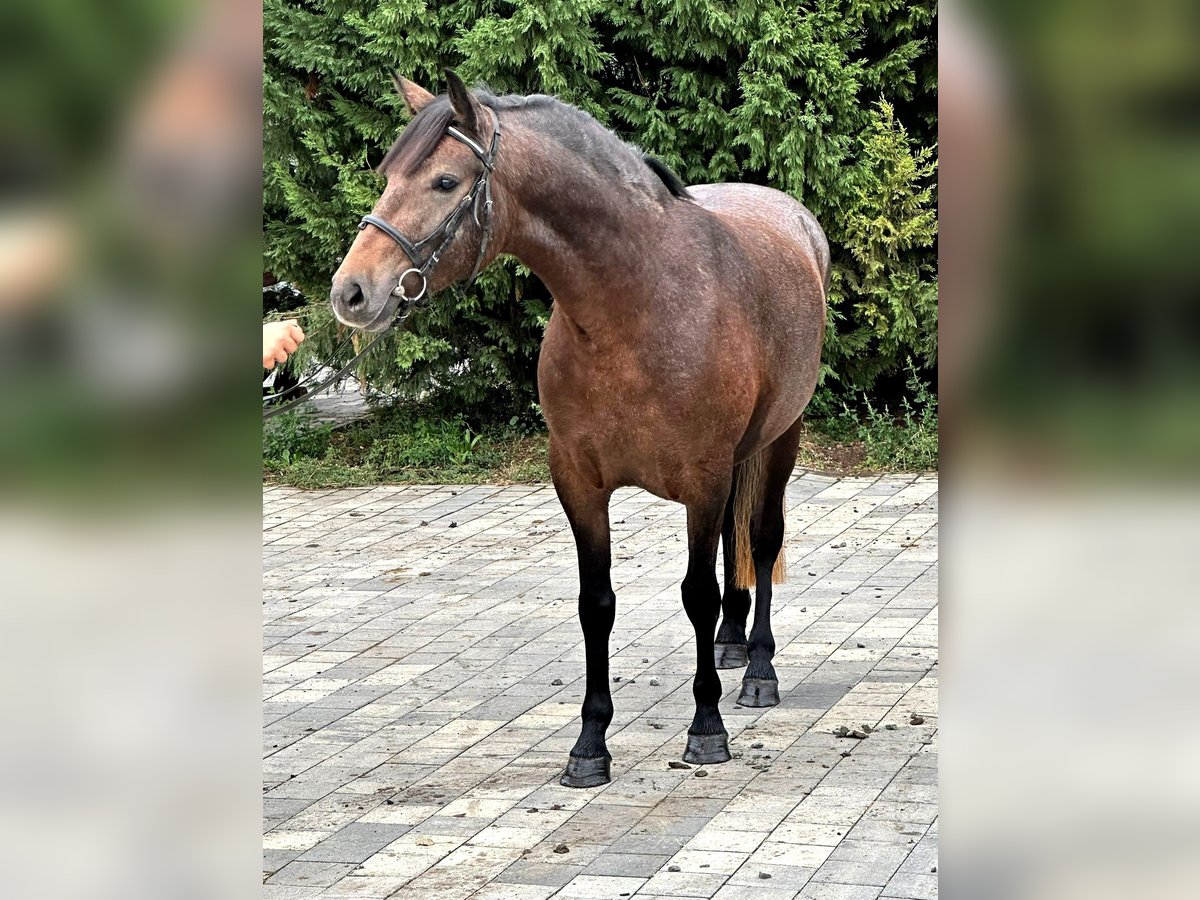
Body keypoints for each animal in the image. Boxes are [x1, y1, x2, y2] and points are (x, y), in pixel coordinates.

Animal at [333, 72, 830, 787]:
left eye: (446, 182)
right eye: (387, 175)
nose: (351, 292)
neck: (639, 306)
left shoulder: (702, 480)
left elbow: (698, 593)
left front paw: (707, 729)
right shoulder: (579, 481)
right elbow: (597, 603)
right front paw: (591, 742)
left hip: (779, 438)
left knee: (760, 542)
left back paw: (757, 667)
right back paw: (732, 647)